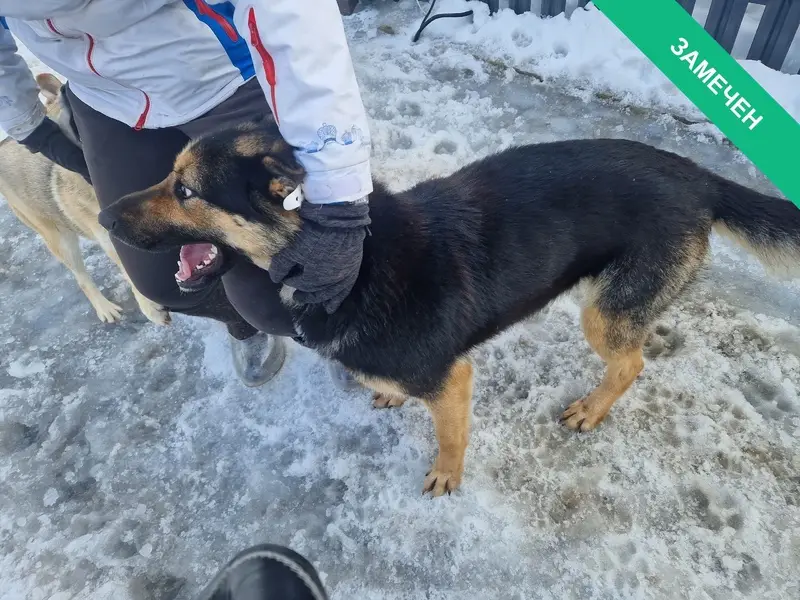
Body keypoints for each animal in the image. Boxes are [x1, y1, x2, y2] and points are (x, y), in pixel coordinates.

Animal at [0, 73, 169, 326]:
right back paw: (105, 308)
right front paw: (150, 308)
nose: (66, 88)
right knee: (82, 280)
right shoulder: (115, 244)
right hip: (61, 241)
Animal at [97, 123, 800, 496]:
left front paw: (446, 476)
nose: (103, 218)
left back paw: (591, 410)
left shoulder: (452, 378)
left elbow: (450, 432)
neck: (352, 264)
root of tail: (696, 176)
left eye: (187, 191)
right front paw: (389, 395)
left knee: (631, 364)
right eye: (169, 176)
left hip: (603, 314)